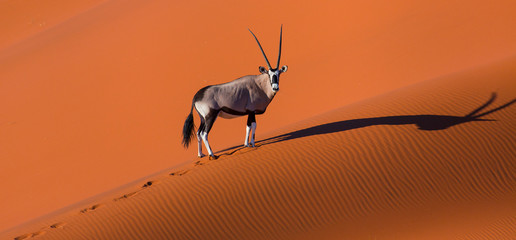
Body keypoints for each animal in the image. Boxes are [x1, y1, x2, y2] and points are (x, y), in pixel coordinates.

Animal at [181, 26, 286, 159]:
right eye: (269, 74)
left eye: (278, 74)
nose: (275, 87)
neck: (260, 85)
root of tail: (196, 97)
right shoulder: (251, 111)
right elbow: (251, 126)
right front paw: (249, 144)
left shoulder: (251, 112)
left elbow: (251, 126)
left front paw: (250, 143)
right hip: (210, 116)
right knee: (204, 133)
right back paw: (212, 155)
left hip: (202, 118)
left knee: (199, 132)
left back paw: (201, 154)